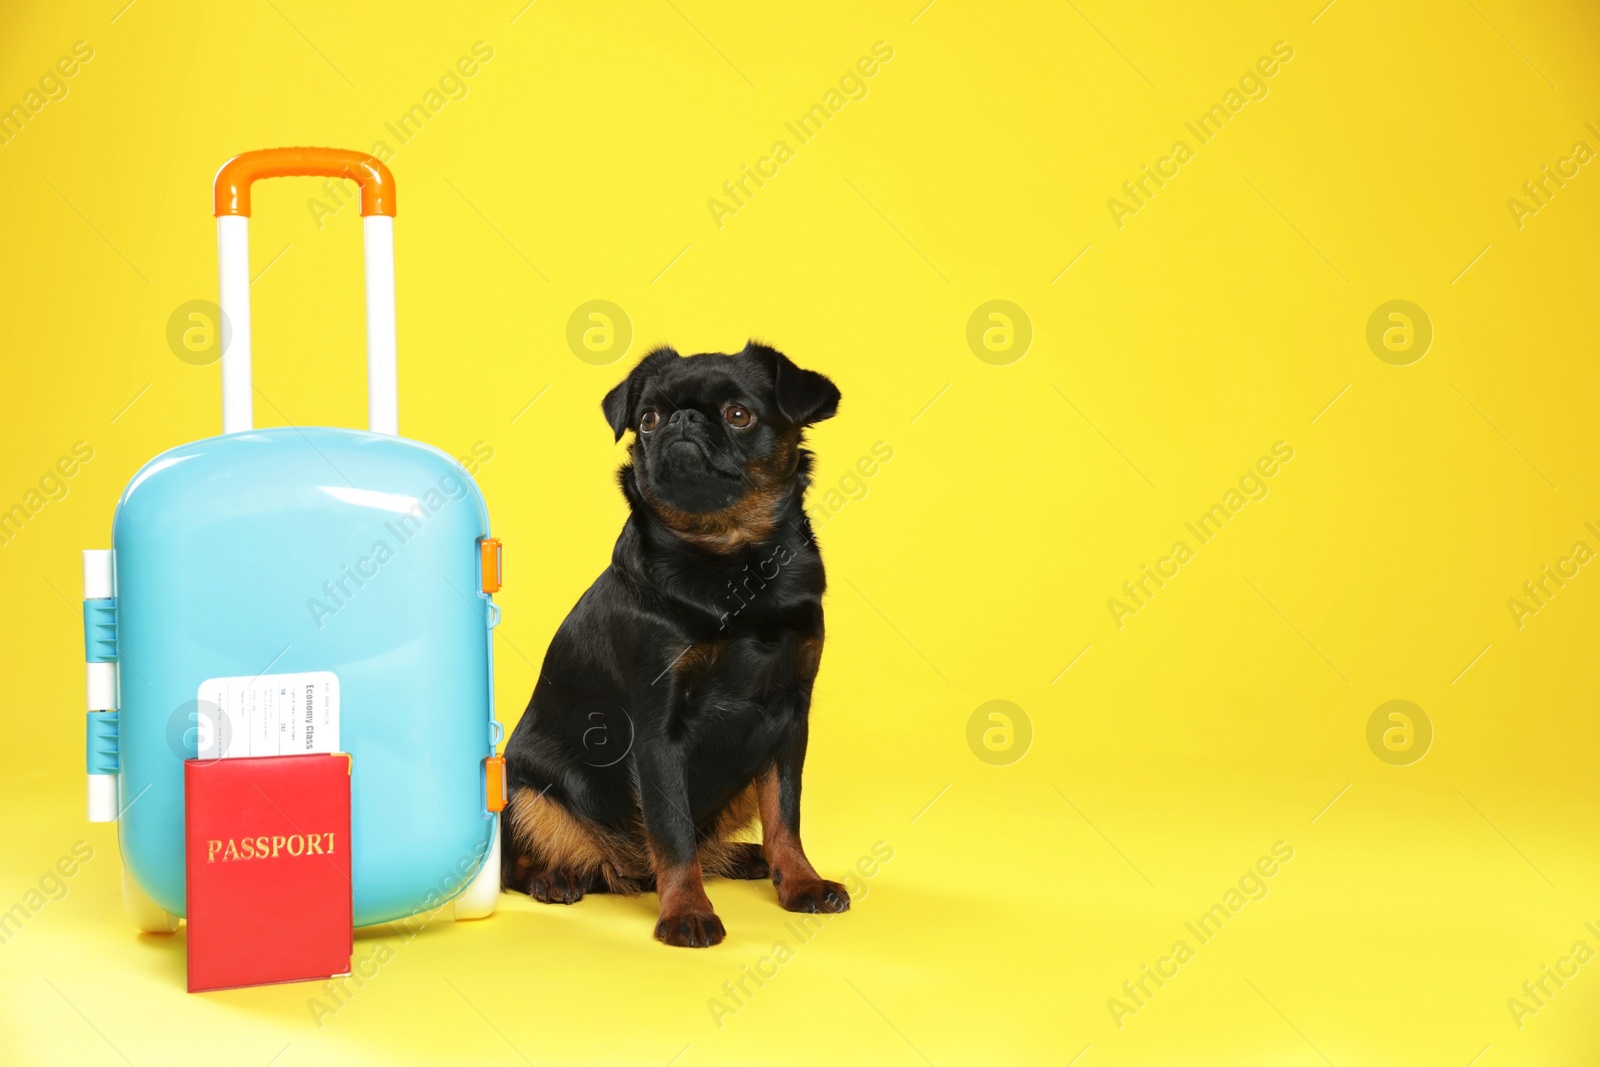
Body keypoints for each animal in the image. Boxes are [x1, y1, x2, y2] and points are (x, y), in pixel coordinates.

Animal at [499, 343, 851, 953]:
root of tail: (625, 870)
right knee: (517, 860)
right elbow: (673, 830)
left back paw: (747, 858)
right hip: (521, 790)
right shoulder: (657, 730)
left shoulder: (789, 719)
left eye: (739, 415)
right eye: (648, 419)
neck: (732, 560)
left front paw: (800, 881)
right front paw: (686, 910)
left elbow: (785, 814)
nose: (682, 420)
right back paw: (554, 876)